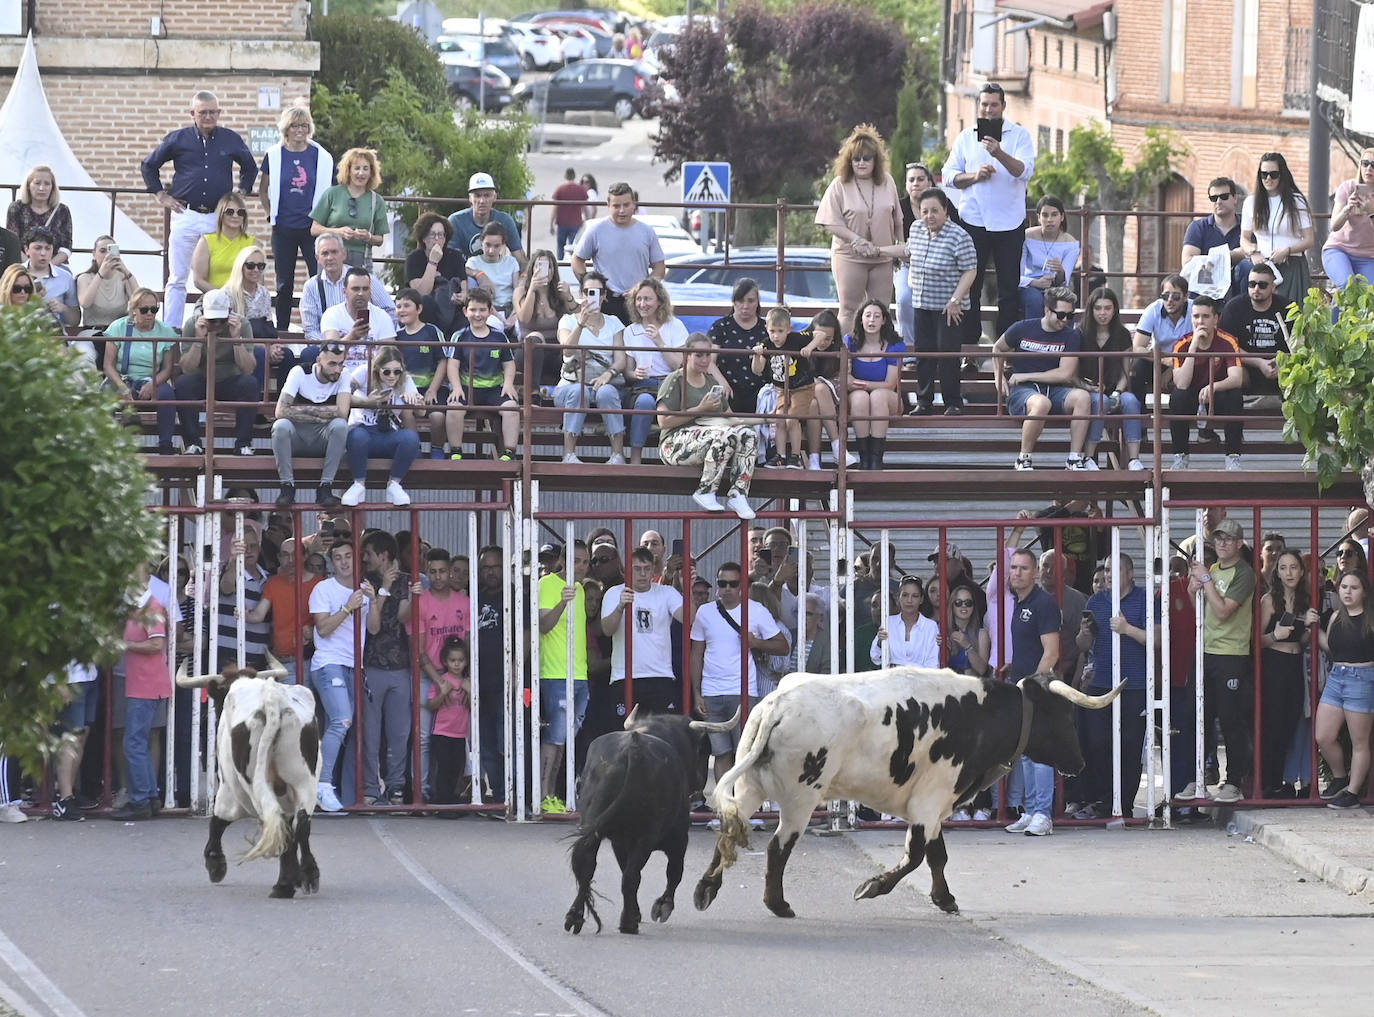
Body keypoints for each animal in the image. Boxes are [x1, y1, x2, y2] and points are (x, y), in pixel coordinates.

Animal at [177, 651, 324, 896]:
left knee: (276, 819)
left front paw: (215, 862)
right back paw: (306, 876)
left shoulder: (228, 789)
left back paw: (283, 885)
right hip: (304, 779)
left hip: (252, 784)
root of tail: (273, 699)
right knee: (301, 823)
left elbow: (218, 820)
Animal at [563, 709, 741, 940]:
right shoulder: (678, 837)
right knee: (631, 876)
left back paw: (575, 917)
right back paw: (629, 923)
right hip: (647, 836)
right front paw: (663, 906)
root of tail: (633, 749)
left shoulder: (620, 841)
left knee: (588, 865)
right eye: (702, 752)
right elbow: (674, 872)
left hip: (592, 825)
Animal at [692, 667, 1121, 923]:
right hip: (801, 799)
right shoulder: (930, 801)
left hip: (751, 786)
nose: (1079, 762)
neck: (981, 714)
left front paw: (938, 897)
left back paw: (706, 888)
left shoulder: (933, 804)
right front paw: (877, 887)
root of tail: (777, 705)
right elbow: (920, 856)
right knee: (778, 848)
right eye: (1065, 717)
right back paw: (777, 904)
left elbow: (931, 855)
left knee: (730, 828)